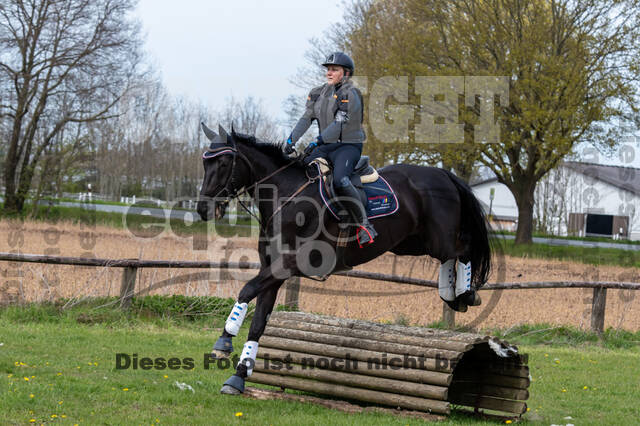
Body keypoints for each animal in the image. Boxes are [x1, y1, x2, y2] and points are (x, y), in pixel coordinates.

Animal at [195, 124, 490, 396]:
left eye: (223, 163)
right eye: (204, 162)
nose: (203, 209)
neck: (286, 197)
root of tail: (443, 174)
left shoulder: (288, 265)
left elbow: (246, 290)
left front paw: (224, 342)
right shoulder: (273, 272)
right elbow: (258, 323)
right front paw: (238, 376)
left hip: (439, 238)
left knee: (463, 248)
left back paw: (465, 294)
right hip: (412, 244)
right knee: (450, 257)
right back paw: (452, 294)